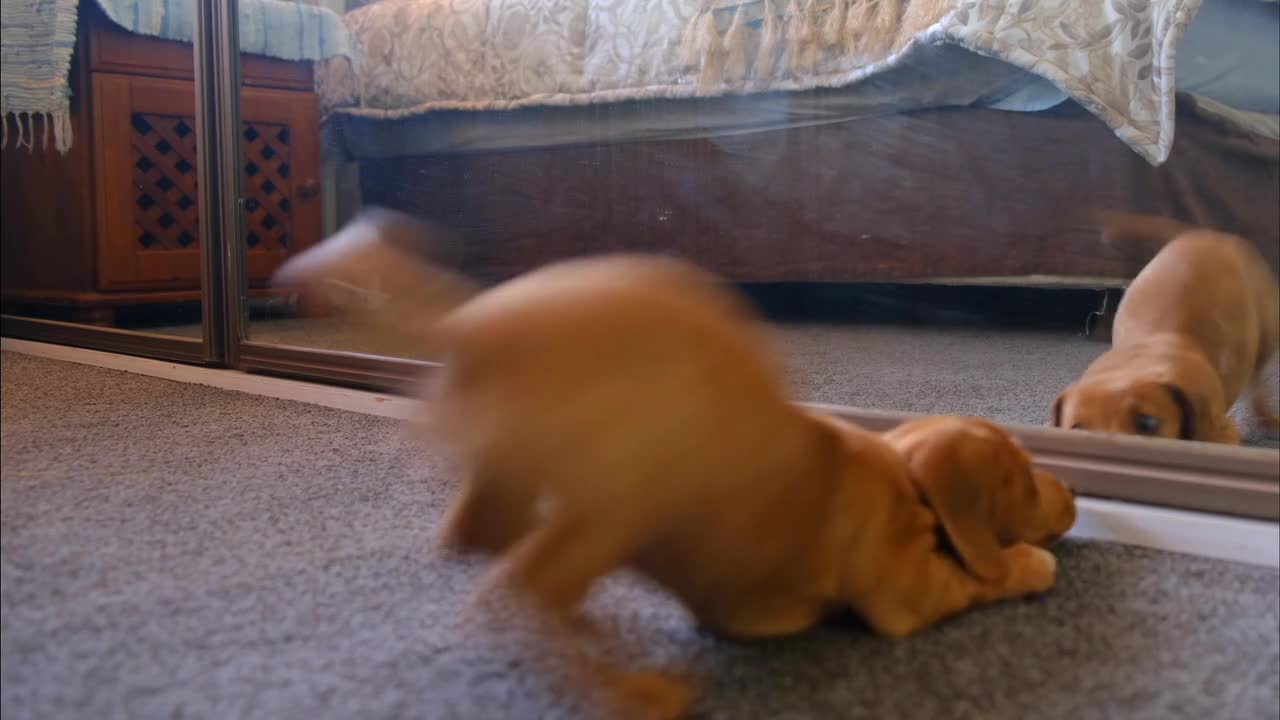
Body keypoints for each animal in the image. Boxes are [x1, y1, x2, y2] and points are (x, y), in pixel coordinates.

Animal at [1049, 210, 1280, 440]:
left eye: (1147, 423)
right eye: (1078, 429)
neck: (1138, 362)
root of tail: (1205, 234)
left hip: (1268, 335)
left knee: (1257, 380)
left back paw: (1265, 414)